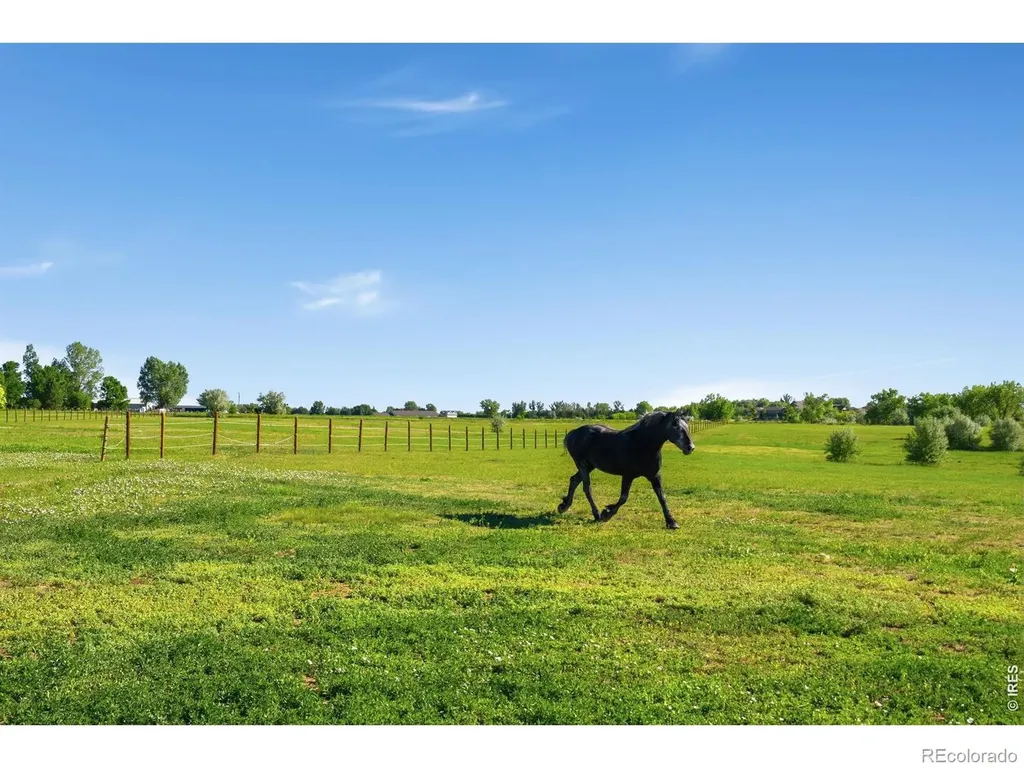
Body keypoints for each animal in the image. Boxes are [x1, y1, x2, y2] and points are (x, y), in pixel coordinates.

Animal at [557, 410, 696, 529]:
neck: (642, 444)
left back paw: (564, 506)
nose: (690, 447)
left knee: (574, 480)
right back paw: (597, 515)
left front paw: (672, 522)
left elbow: (662, 497)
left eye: (686, 425)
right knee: (587, 488)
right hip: (582, 465)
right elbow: (624, 497)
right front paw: (606, 514)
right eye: (675, 425)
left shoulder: (655, 476)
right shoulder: (628, 475)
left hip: (589, 466)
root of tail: (573, 433)